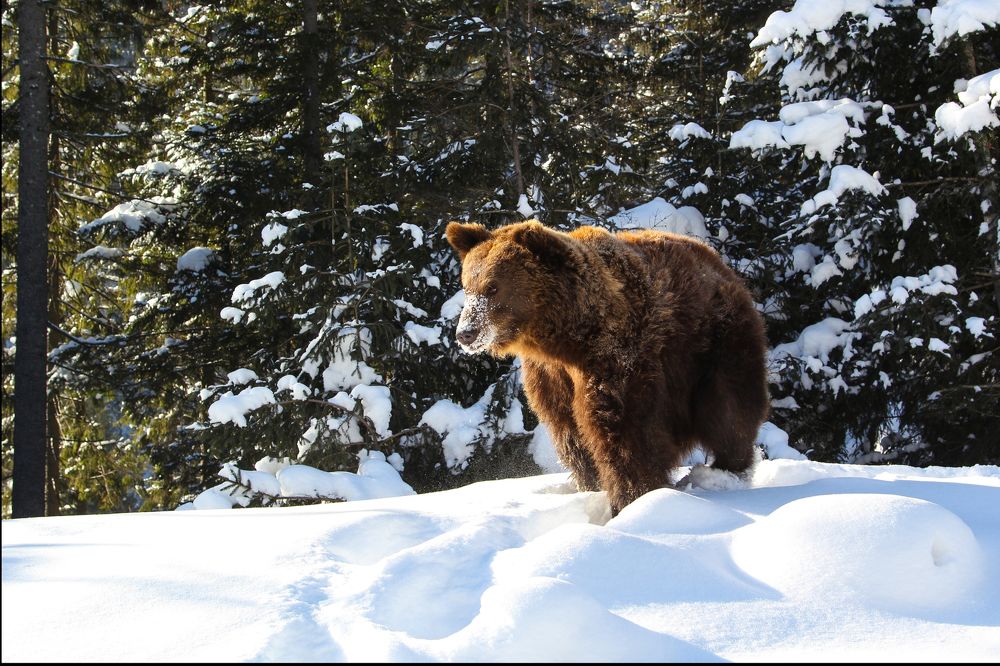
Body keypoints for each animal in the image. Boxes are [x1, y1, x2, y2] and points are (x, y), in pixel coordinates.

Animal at [445, 219, 770, 516]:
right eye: (467, 286)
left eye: (493, 287)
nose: (466, 333)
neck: (567, 338)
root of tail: (718, 262)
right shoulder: (551, 376)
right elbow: (571, 433)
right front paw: (592, 486)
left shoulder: (618, 356)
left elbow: (624, 431)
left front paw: (632, 498)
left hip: (715, 343)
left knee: (729, 409)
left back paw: (725, 472)